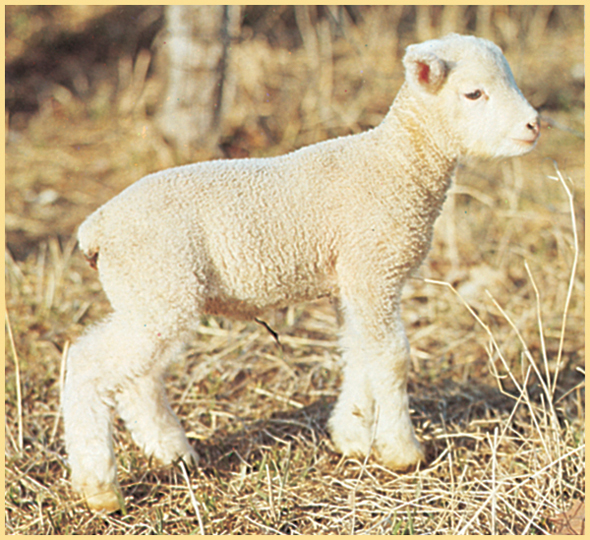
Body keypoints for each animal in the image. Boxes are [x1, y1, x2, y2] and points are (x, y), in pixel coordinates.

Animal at [63, 33, 540, 510]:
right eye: (473, 93)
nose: (534, 124)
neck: (397, 163)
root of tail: (96, 227)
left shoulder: (351, 278)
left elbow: (357, 351)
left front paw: (352, 436)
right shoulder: (374, 270)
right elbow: (391, 358)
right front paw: (402, 451)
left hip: (151, 297)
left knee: (139, 379)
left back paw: (173, 453)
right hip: (158, 287)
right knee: (88, 365)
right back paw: (99, 487)